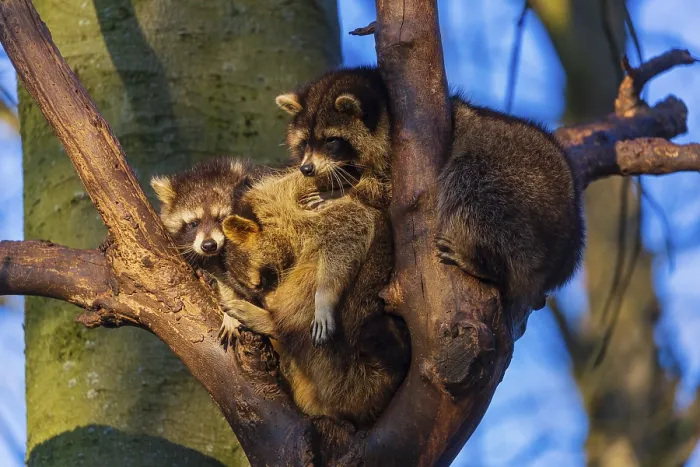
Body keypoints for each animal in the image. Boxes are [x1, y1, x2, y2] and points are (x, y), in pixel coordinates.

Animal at [216, 169, 410, 429]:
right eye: (255, 291)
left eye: (263, 282)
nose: (272, 307)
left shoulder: (327, 209)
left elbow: (351, 229)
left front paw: (321, 299)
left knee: (309, 279)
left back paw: (278, 323)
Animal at [276, 67, 585, 310]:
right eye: (305, 143)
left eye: (331, 141)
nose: (306, 169)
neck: (387, 114)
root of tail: (568, 245)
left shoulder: (405, 160)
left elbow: (388, 194)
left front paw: (344, 193)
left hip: (523, 191)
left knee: (470, 181)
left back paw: (488, 265)